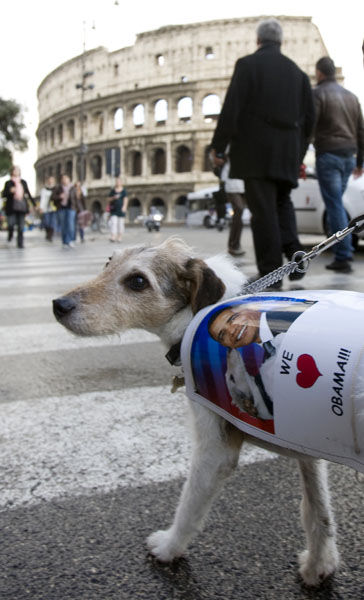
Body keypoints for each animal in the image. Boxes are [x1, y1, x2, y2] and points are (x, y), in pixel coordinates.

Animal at [53, 238, 342, 584]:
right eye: (109, 262)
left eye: (137, 281)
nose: (58, 305)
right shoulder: (307, 447)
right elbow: (318, 509)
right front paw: (319, 564)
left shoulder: (215, 450)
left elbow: (189, 505)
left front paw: (169, 547)